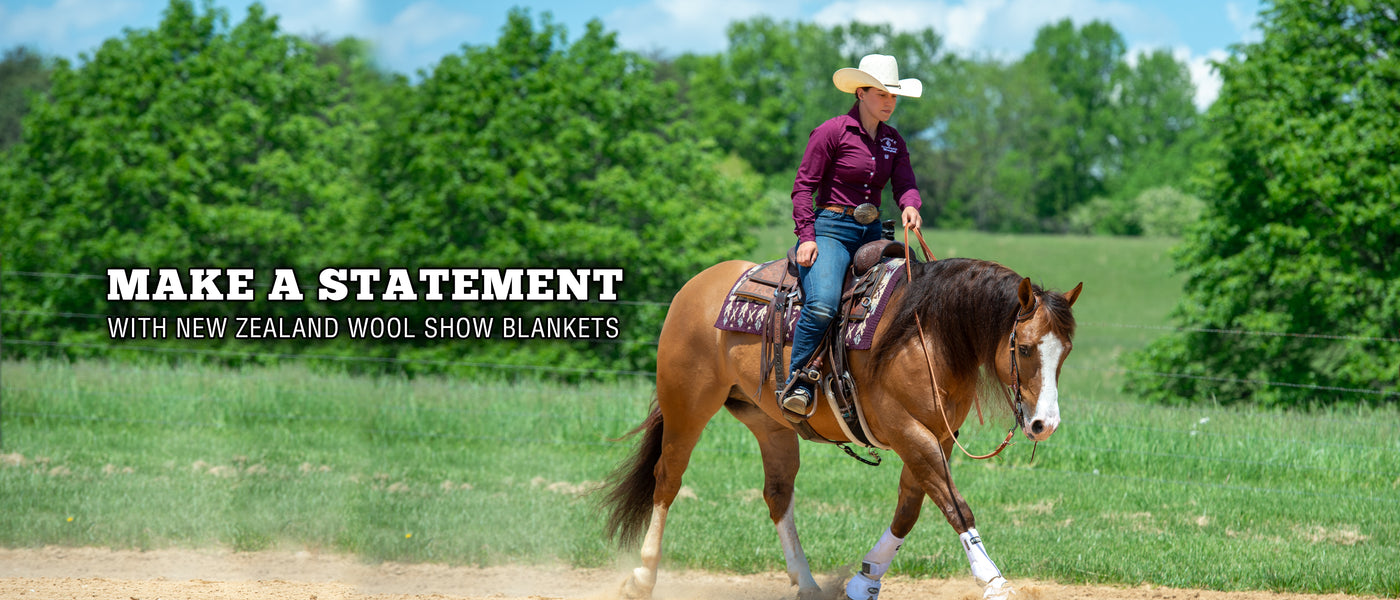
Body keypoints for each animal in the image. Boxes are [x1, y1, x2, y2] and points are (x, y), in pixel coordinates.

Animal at [602, 250, 1080, 598]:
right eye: (1023, 347)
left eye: (1066, 351)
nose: (1045, 424)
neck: (928, 335)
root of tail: (696, 285)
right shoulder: (908, 430)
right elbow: (955, 505)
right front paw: (994, 580)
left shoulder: (938, 436)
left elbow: (911, 508)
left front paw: (865, 578)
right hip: (687, 406)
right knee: (667, 480)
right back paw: (642, 577)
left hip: (770, 424)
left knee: (778, 494)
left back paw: (808, 584)